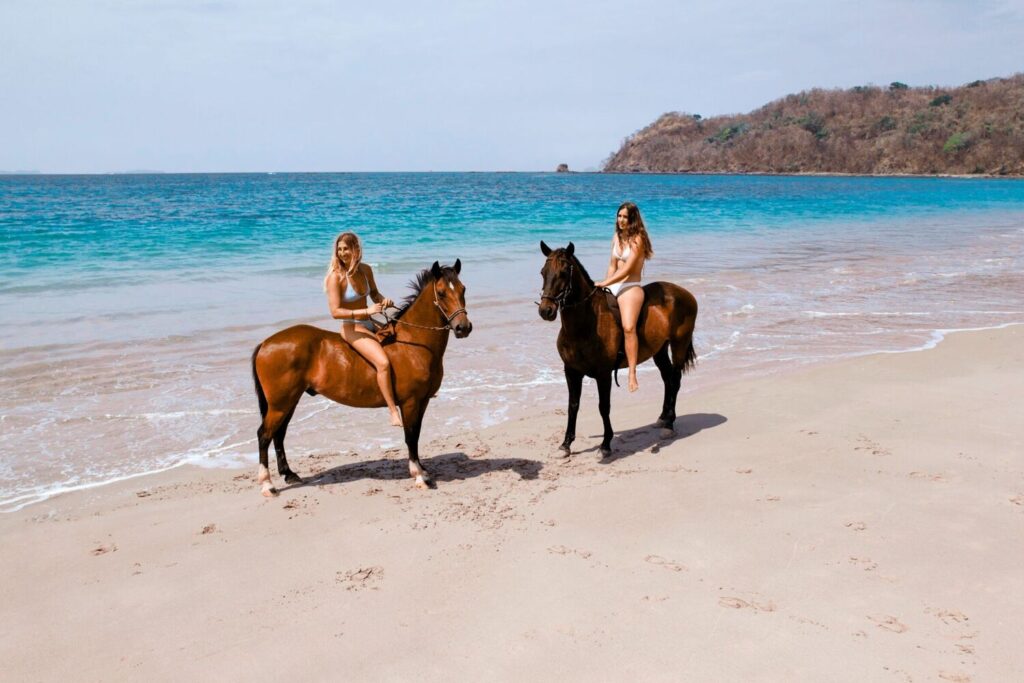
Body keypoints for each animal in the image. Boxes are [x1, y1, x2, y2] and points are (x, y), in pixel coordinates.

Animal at [251, 259, 471, 493]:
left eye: (463, 289)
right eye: (442, 293)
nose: (463, 327)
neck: (413, 343)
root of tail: (266, 343)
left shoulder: (423, 401)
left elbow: (417, 435)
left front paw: (423, 471)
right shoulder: (410, 402)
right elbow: (410, 436)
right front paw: (418, 475)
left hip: (288, 401)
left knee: (279, 434)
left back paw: (289, 474)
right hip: (280, 403)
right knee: (264, 435)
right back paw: (267, 484)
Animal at [536, 241, 696, 458]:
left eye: (563, 273)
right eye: (543, 272)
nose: (546, 310)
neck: (586, 325)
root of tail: (685, 293)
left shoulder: (603, 374)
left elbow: (604, 407)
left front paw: (605, 445)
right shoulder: (571, 371)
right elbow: (573, 406)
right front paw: (566, 444)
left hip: (679, 344)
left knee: (676, 380)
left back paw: (669, 424)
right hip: (660, 350)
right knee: (667, 379)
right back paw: (663, 417)